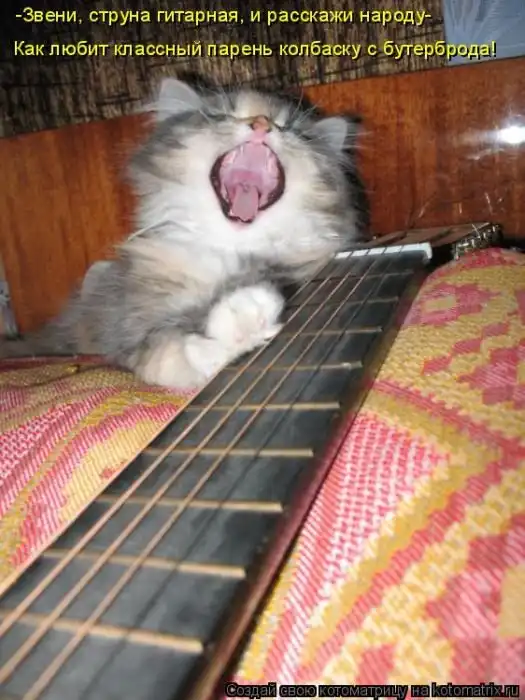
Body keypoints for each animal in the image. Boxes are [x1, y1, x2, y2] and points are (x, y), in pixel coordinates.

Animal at [0, 77, 370, 390]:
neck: (235, 249)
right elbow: (160, 353)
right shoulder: (130, 325)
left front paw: (243, 318)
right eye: (221, 114)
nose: (261, 124)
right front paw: (230, 330)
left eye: (292, 128)